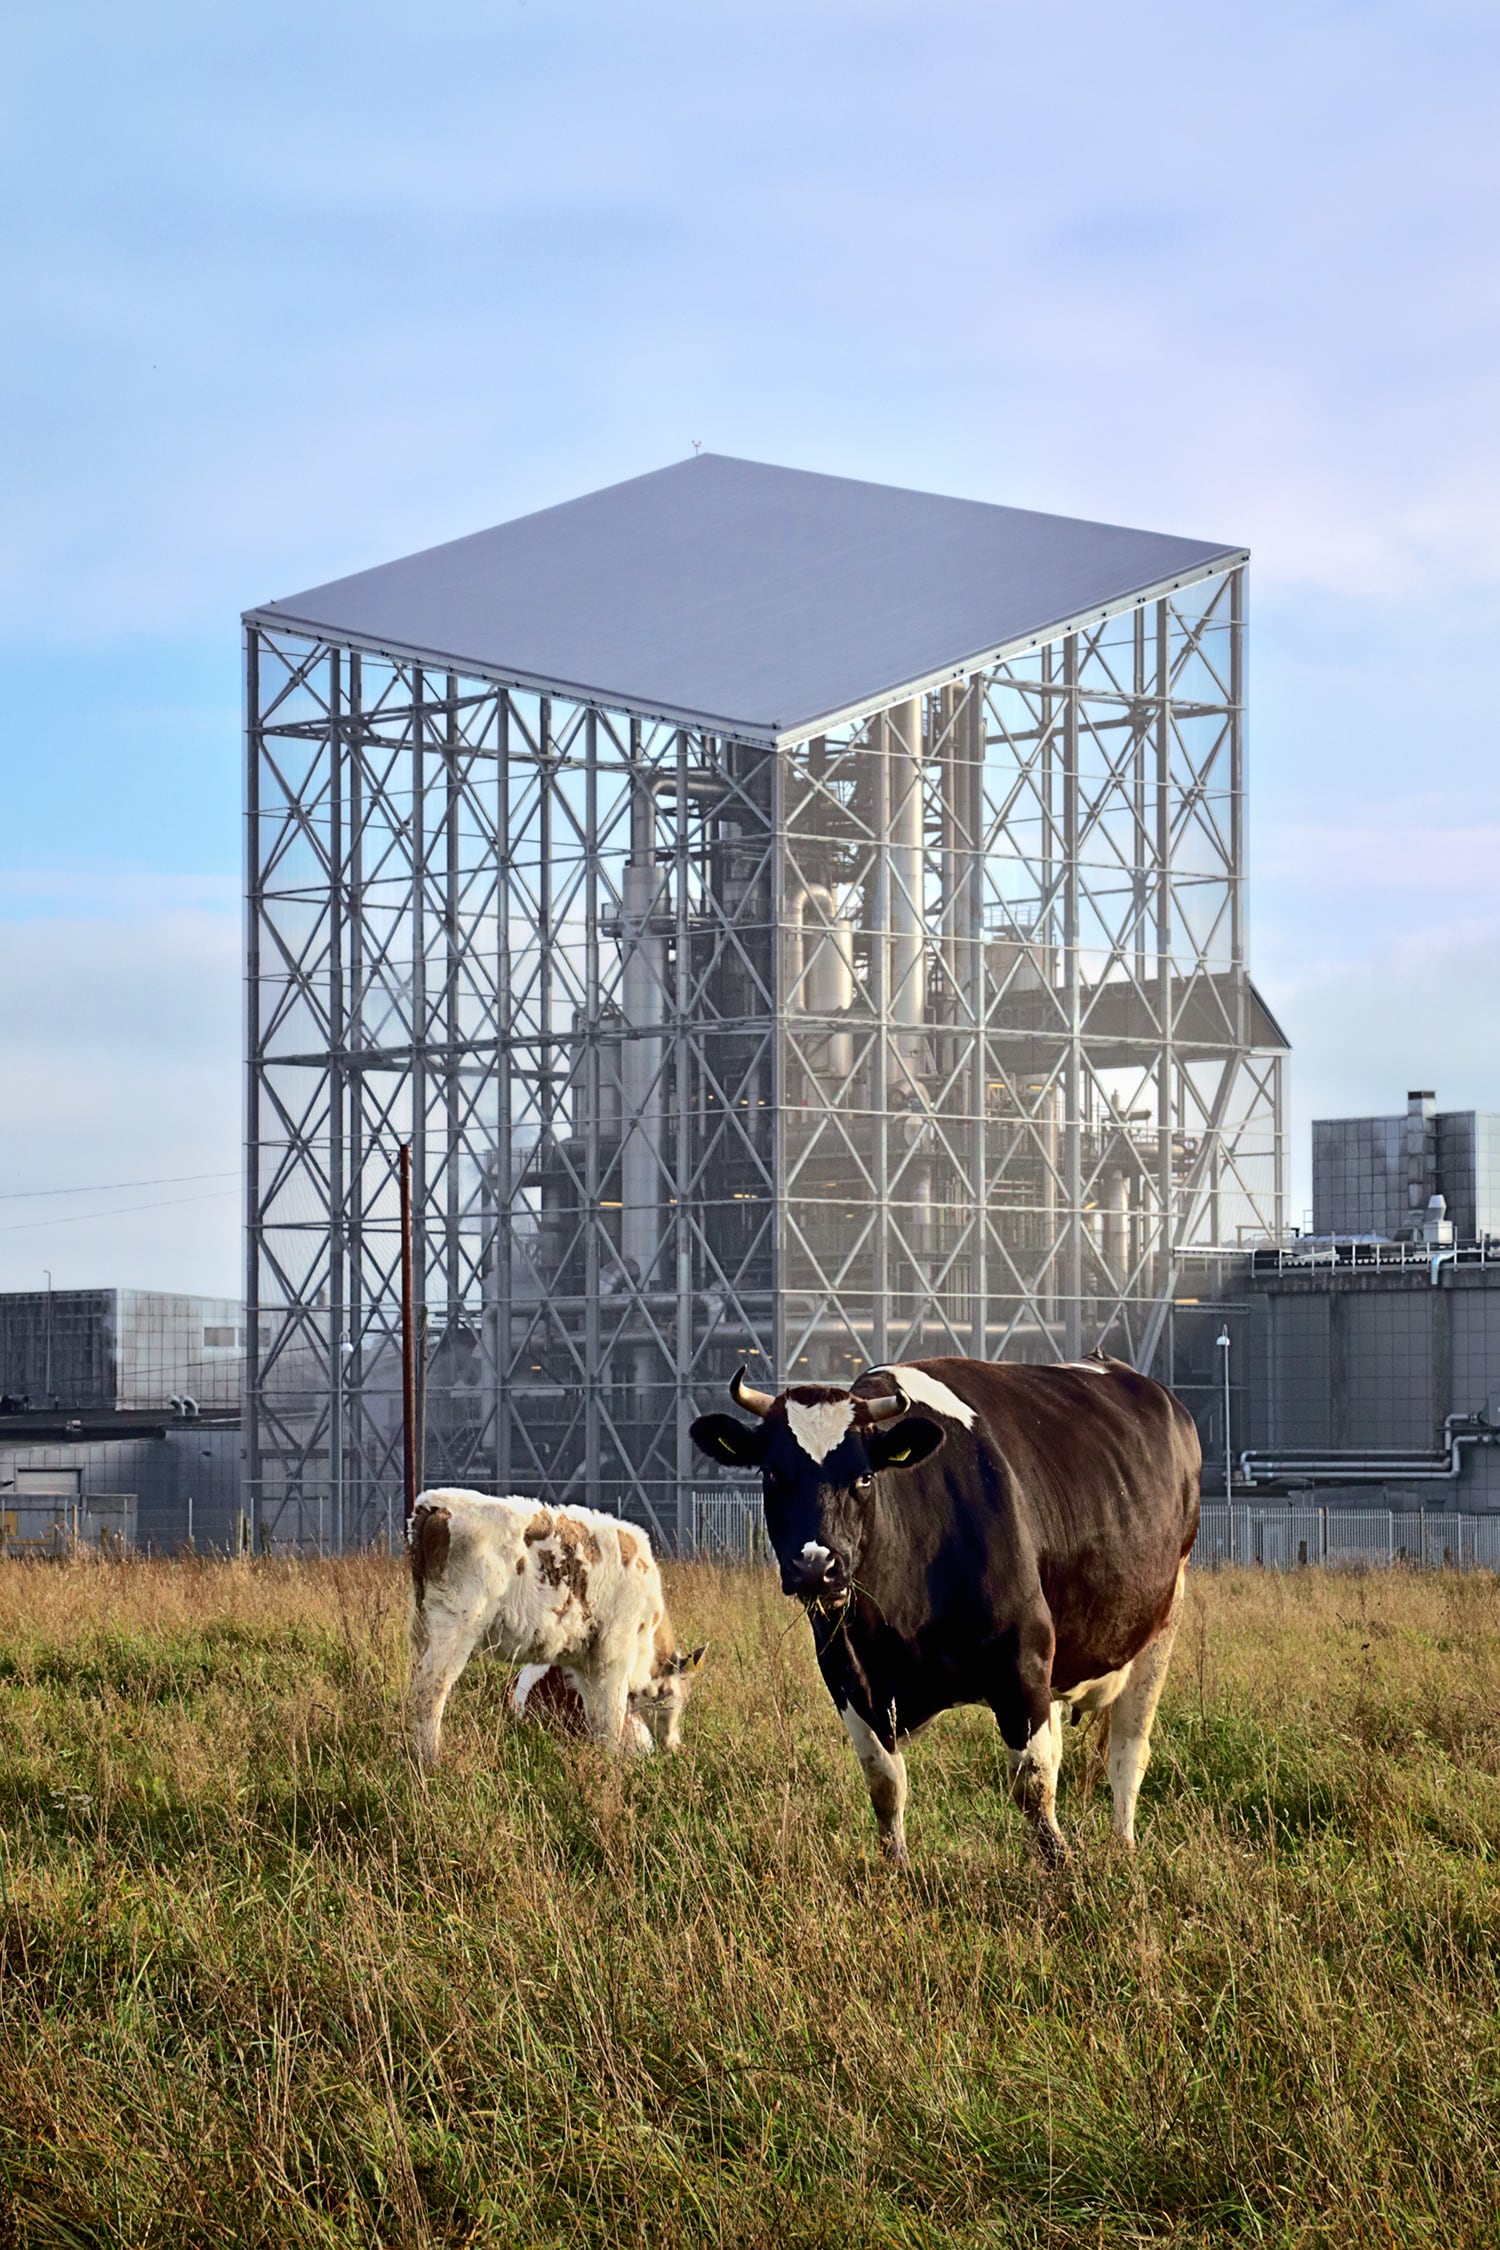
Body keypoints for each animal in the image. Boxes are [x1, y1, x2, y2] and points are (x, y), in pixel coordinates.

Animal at [407, 1485, 706, 1764]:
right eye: (682, 1695)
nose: (674, 1745)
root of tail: (433, 1504)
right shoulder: (614, 1655)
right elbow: (612, 1719)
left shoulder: (586, 1665)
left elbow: (597, 1717)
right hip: (455, 1623)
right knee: (430, 1687)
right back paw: (430, 1758)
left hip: (424, 1624)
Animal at [692, 1350, 1196, 1863]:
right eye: (773, 1474)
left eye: (864, 1476)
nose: (816, 1568)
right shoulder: (847, 1673)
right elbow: (884, 1782)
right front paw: (895, 1867)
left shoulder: (1023, 1657)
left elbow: (1033, 1784)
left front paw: (1063, 1865)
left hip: (1161, 1623)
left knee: (1128, 1751)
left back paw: (1124, 1845)